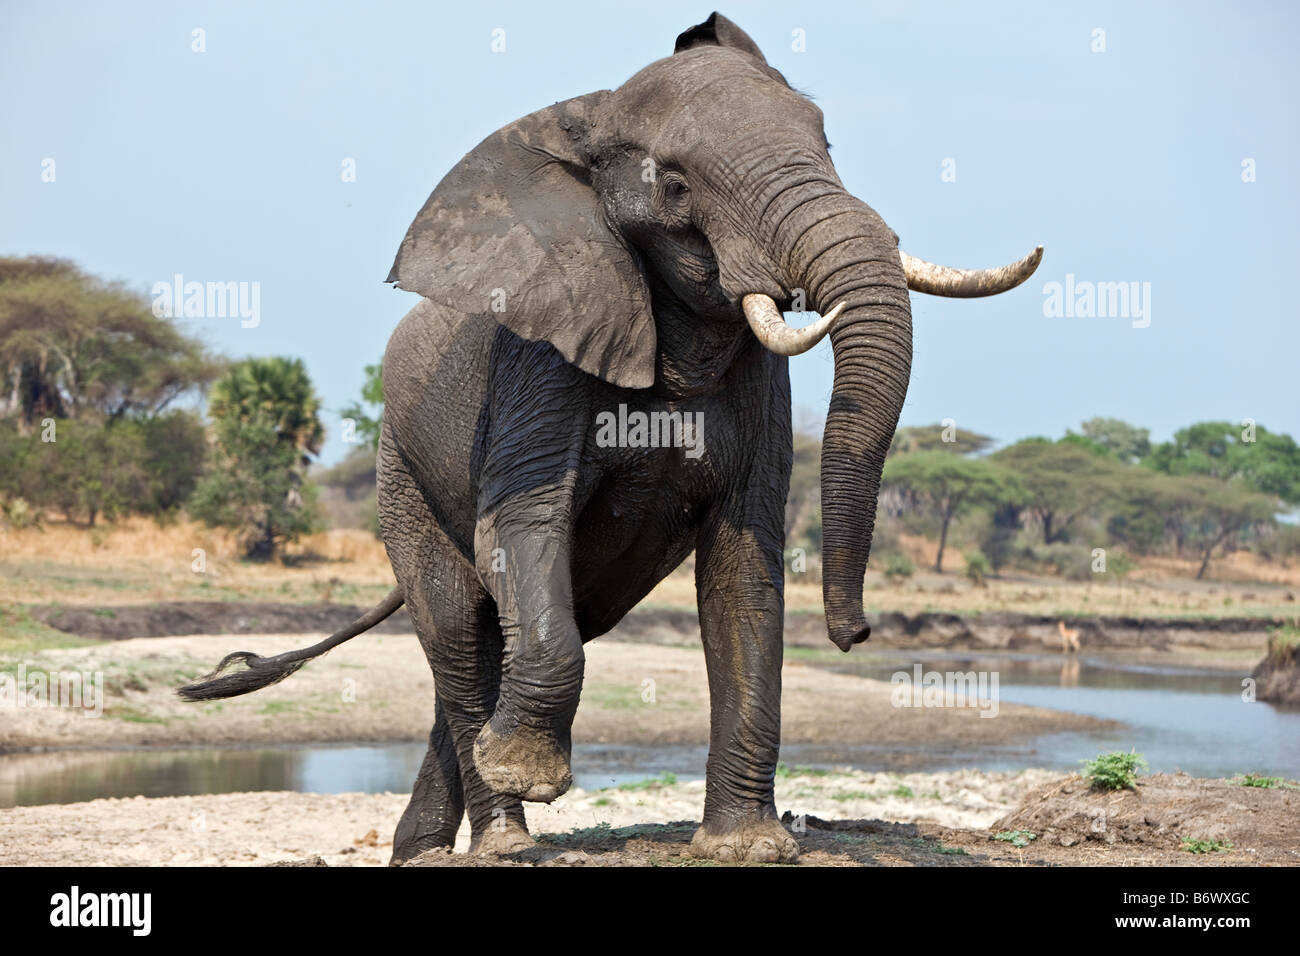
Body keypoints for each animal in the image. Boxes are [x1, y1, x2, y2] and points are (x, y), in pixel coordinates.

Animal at [181, 11, 1041, 863]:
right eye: (675, 184)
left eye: (827, 143)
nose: (855, 632)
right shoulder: (540, 355)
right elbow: (525, 526)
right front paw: (527, 772)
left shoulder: (760, 386)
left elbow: (743, 565)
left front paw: (745, 845)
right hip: (402, 474)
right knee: (458, 630)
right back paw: (499, 838)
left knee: (493, 643)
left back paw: (423, 850)